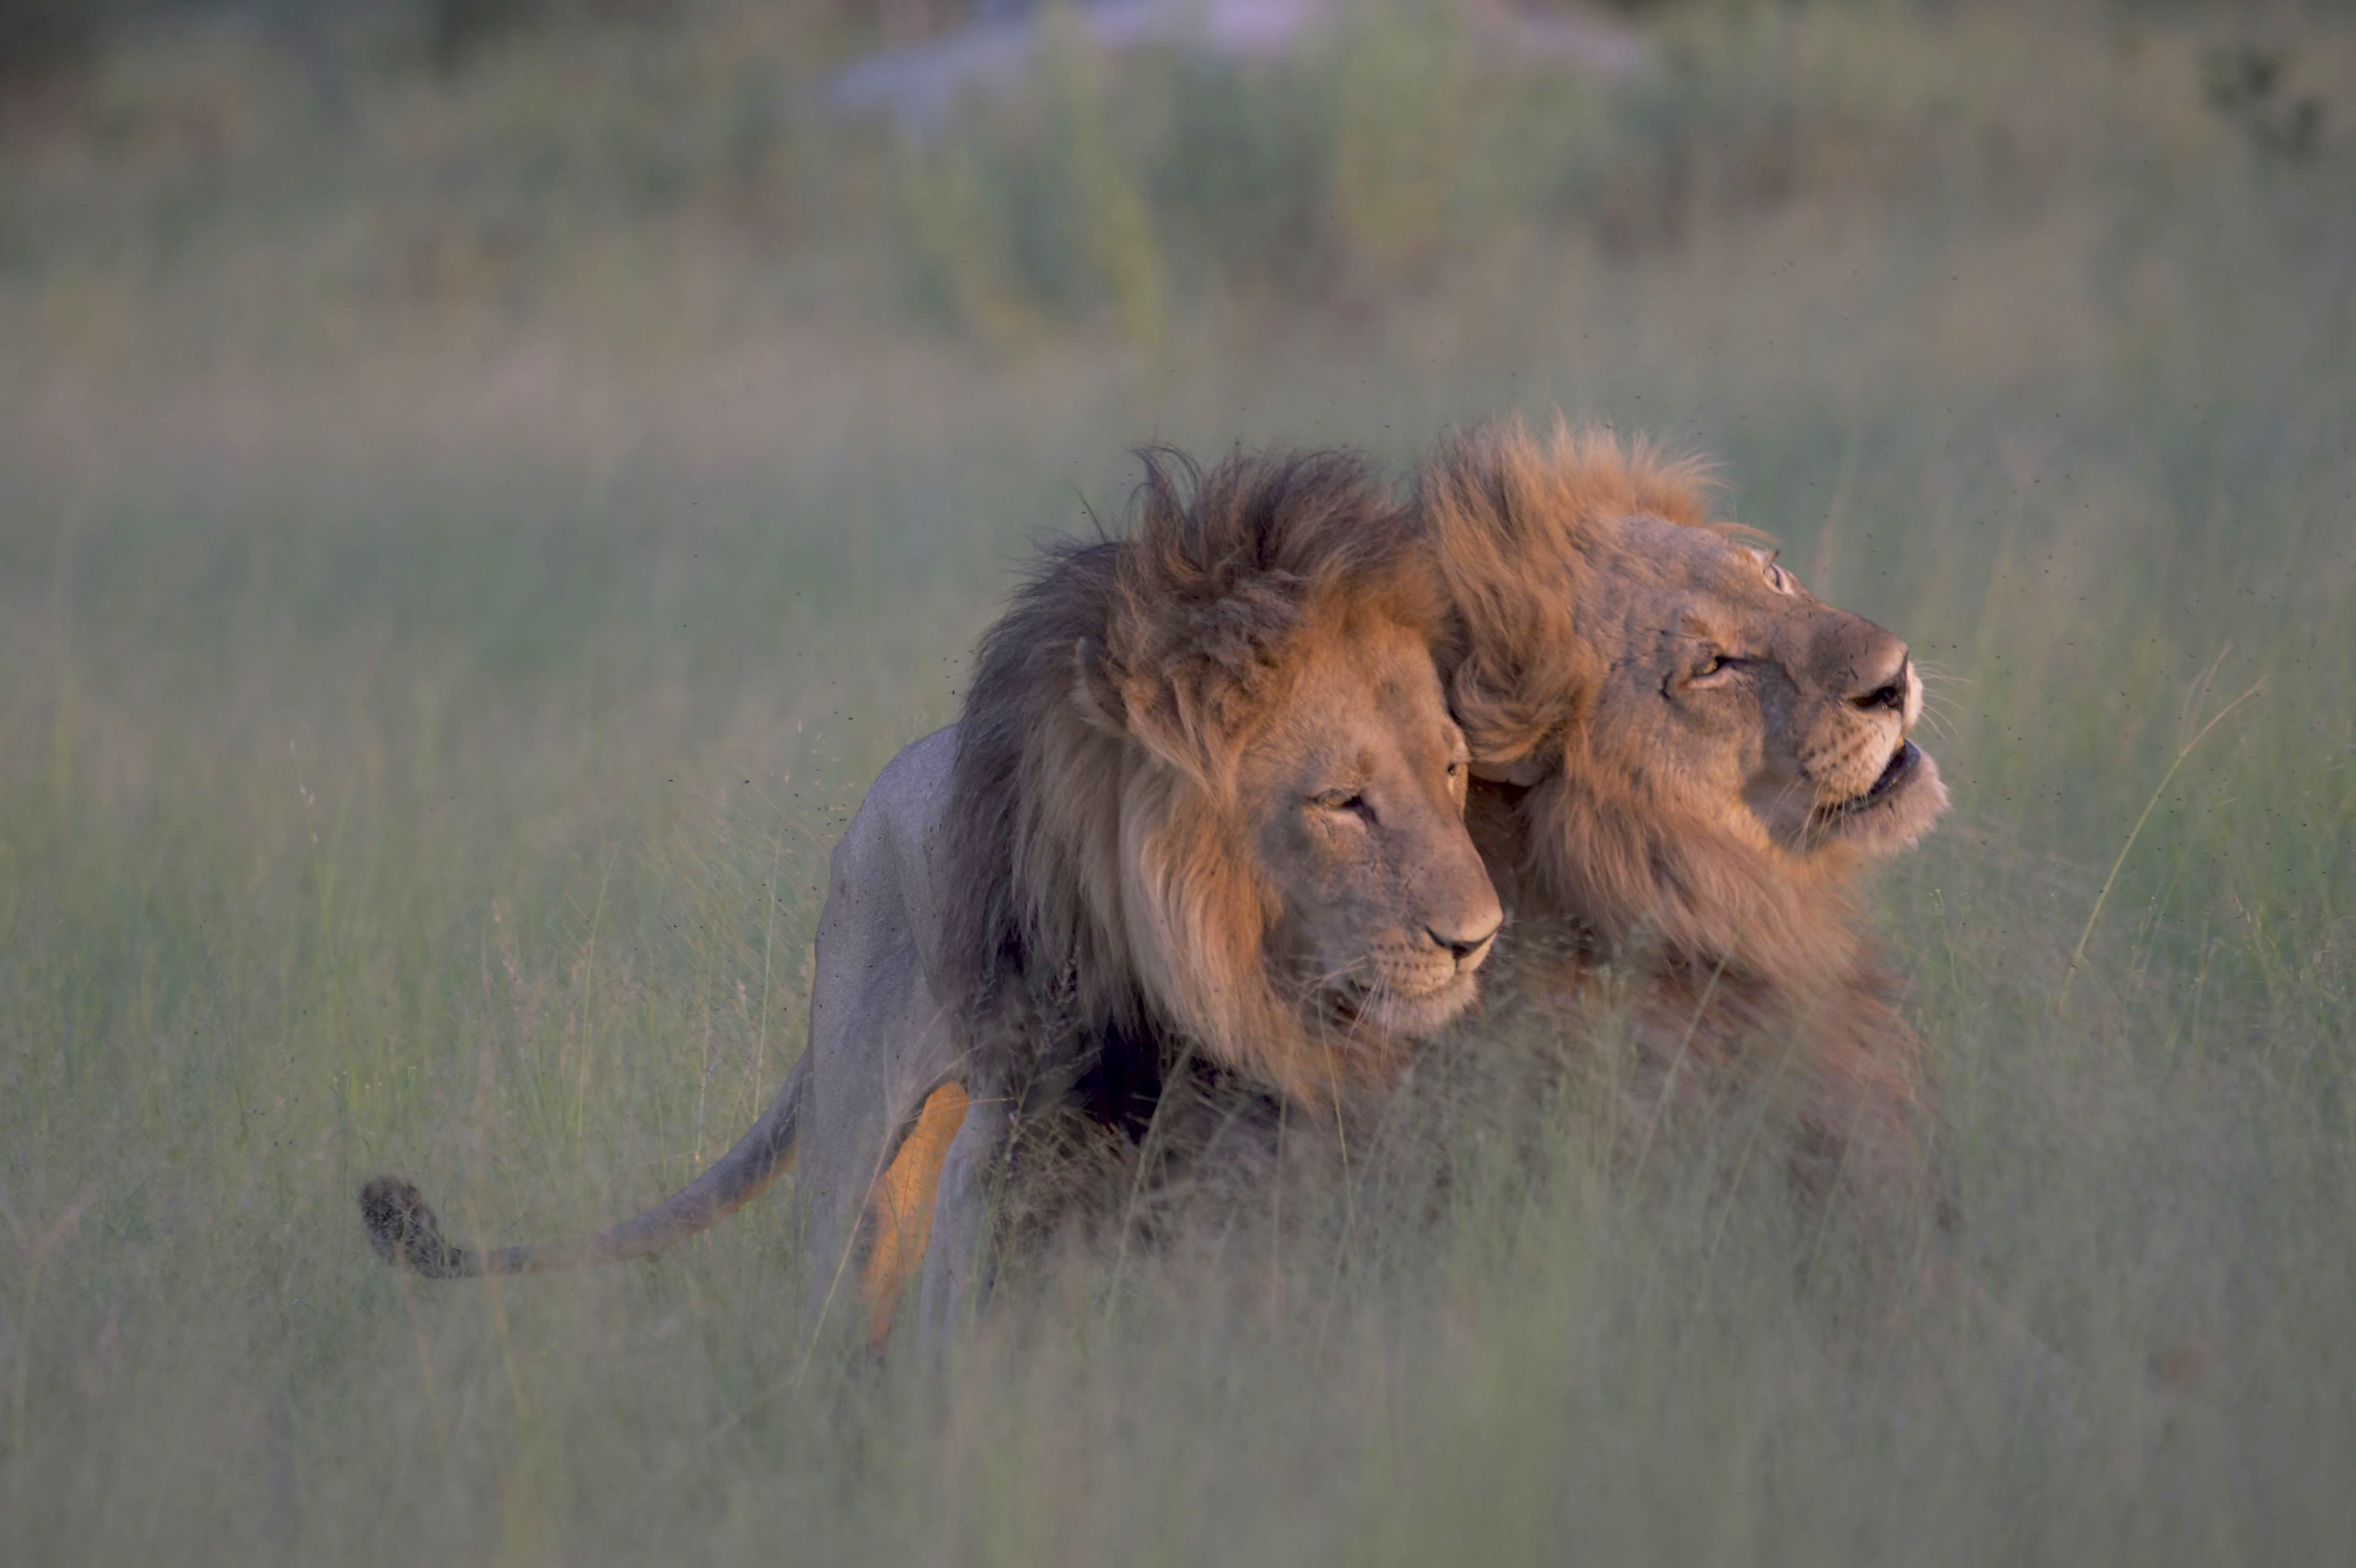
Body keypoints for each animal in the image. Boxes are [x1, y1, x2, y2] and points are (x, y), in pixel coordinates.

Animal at [358, 442, 1498, 1347]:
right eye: (1343, 802)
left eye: (1452, 771)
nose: (1478, 938)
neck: (1217, 994)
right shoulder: (1009, 1150)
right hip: (862, 1158)